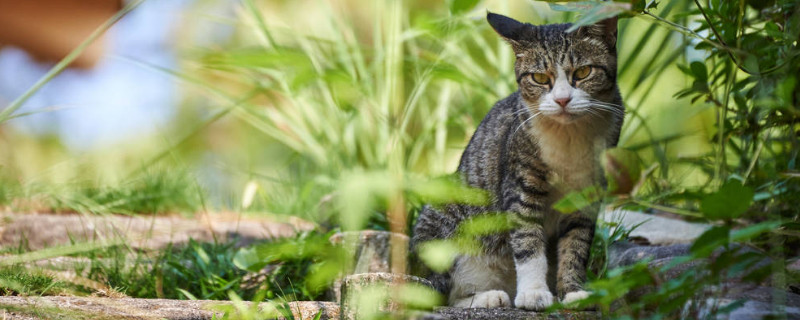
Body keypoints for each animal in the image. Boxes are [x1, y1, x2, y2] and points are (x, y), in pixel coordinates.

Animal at [412, 12, 624, 310]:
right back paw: (488, 297)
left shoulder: (587, 193)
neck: (569, 138)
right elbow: (527, 241)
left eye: (583, 72)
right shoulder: (521, 184)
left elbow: (576, 246)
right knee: (440, 295)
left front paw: (573, 292)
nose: (562, 100)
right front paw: (534, 293)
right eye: (539, 77)